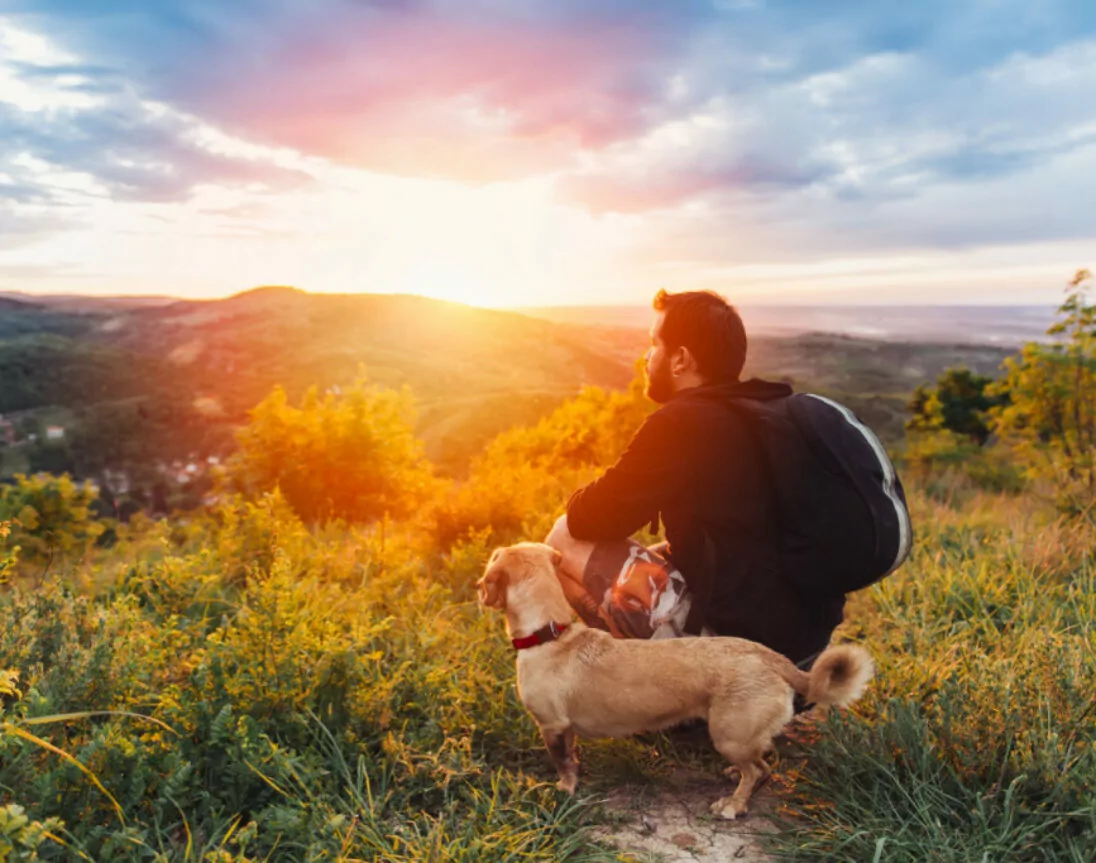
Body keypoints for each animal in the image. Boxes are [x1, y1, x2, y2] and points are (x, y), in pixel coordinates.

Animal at [480, 543, 872, 820]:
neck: (551, 633)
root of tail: (773, 658)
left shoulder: (552, 726)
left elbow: (562, 763)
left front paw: (564, 789)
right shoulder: (565, 729)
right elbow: (573, 758)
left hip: (727, 734)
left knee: (758, 769)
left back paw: (733, 806)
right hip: (740, 736)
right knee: (760, 766)